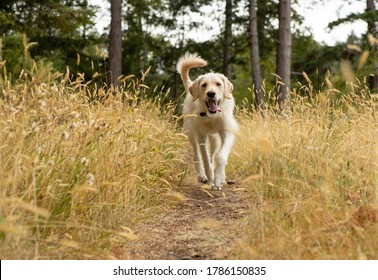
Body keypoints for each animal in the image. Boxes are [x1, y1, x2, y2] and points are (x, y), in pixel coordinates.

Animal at [176, 52, 236, 190]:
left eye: (218, 84)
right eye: (204, 85)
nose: (211, 93)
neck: (211, 116)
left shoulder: (227, 133)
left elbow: (221, 157)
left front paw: (218, 179)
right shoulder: (201, 136)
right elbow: (205, 159)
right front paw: (211, 179)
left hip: (214, 139)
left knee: (212, 155)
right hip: (192, 134)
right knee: (197, 155)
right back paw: (202, 176)